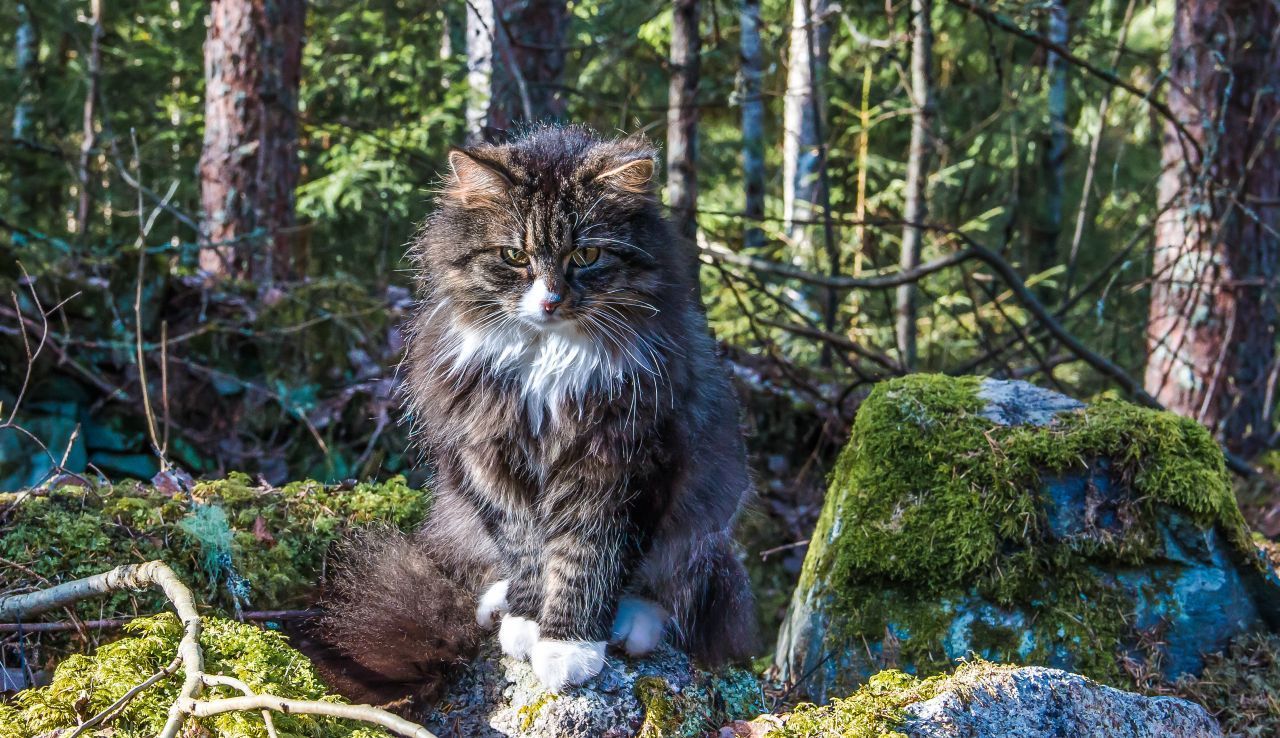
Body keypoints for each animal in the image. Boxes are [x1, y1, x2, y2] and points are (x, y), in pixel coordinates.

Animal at [322, 125, 757, 695]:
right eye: (513, 255)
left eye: (587, 255)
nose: (550, 301)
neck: (547, 364)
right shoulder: (492, 460)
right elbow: (527, 552)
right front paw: (528, 622)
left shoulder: (621, 464)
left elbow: (587, 561)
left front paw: (569, 647)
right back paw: (497, 603)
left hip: (706, 511)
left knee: (677, 584)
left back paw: (633, 623)